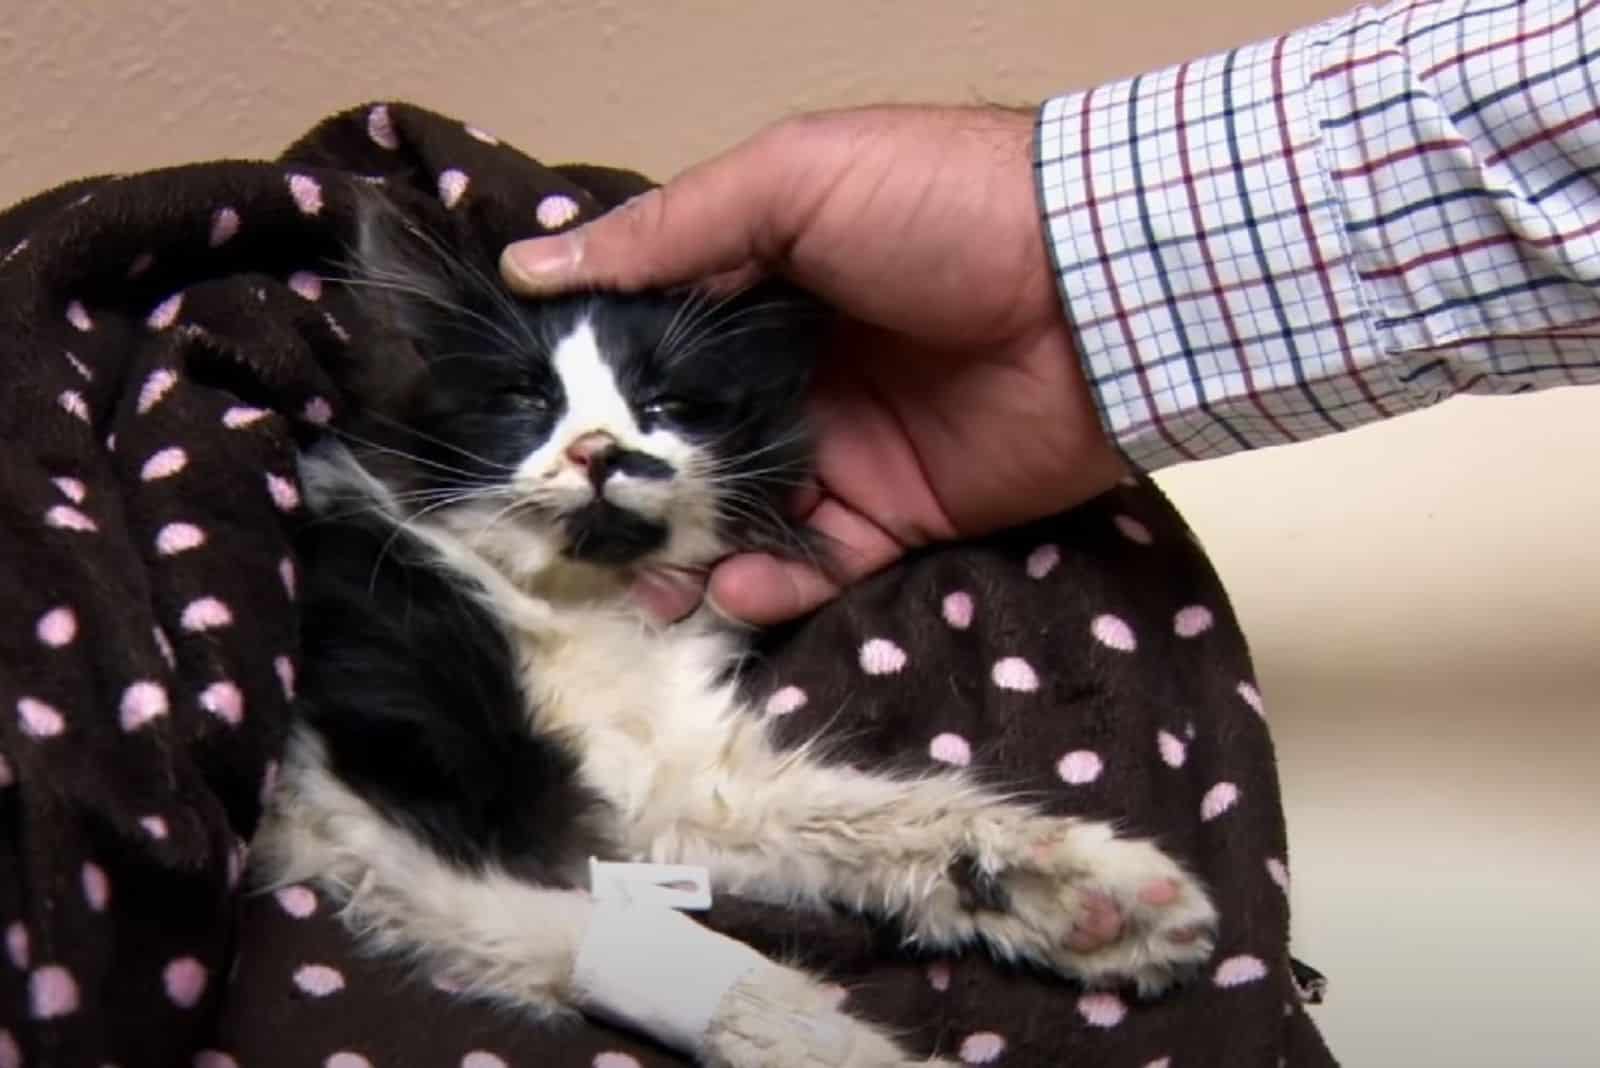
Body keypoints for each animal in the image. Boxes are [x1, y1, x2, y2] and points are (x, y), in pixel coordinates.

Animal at [252, 202, 1209, 1068]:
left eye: (665, 404)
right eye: (525, 399)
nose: (599, 452)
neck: (580, 604)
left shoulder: (666, 790)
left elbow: (860, 813)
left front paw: (1086, 896)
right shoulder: (383, 803)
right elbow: (687, 959)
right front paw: (865, 1057)